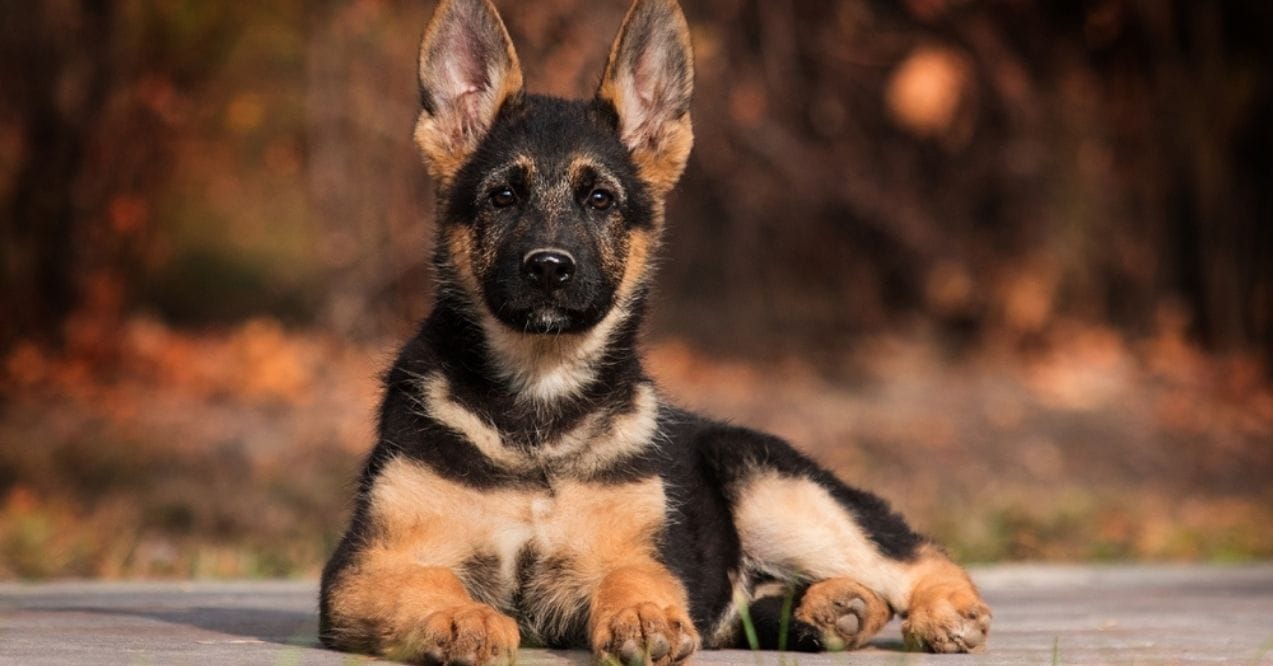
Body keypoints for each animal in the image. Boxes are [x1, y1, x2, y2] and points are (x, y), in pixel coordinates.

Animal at [315, 0, 982, 662]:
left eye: (601, 199)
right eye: (502, 196)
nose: (549, 268)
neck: (540, 407)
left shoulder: (639, 551)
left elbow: (632, 575)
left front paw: (641, 615)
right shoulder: (366, 568)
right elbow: (425, 583)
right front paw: (460, 618)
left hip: (779, 492)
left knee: (908, 554)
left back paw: (942, 609)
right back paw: (836, 608)